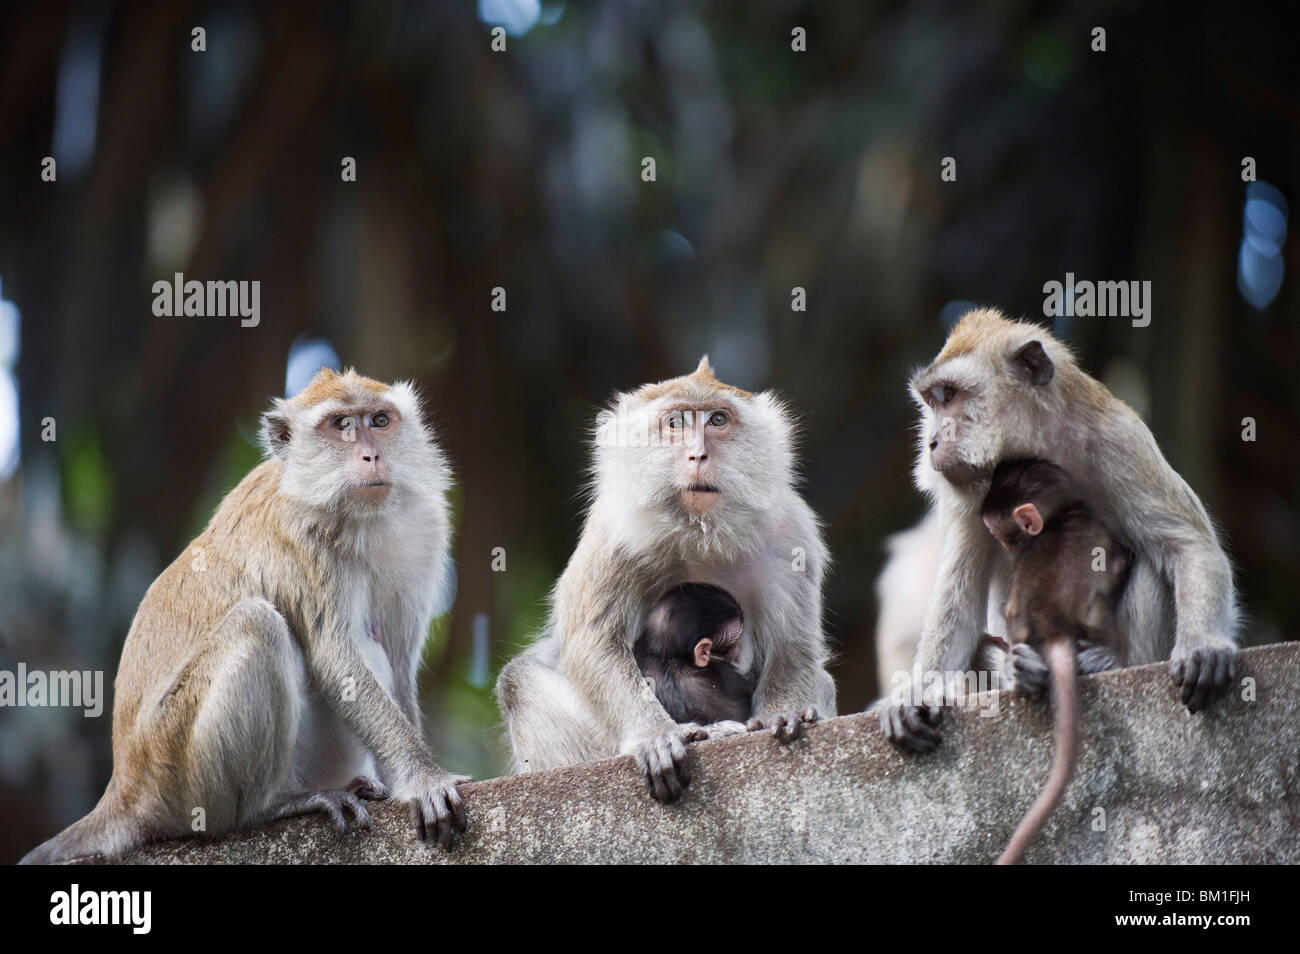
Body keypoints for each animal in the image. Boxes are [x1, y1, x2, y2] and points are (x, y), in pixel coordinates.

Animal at [21, 368, 468, 864]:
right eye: (341, 425)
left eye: (379, 420)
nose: (372, 454)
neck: (361, 518)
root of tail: (125, 784)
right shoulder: (303, 537)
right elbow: (337, 658)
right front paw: (424, 780)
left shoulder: (424, 527)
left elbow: (399, 660)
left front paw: (413, 778)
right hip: (177, 771)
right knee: (258, 624)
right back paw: (269, 807)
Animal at [878, 307, 1239, 753]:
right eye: (932, 401)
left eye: (950, 395)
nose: (930, 441)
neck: (1036, 445)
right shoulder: (965, 489)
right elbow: (959, 595)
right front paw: (919, 690)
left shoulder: (1120, 441)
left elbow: (1187, 545)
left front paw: (1204, 645)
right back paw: (1023, 670)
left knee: (1152, 566)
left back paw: (1109, 662)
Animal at [978, 458, 1131, 864]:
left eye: (1004, 536)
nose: (1004, 546)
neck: (1062, 516)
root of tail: (1053, 628)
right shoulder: (1099, 530)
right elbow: (1121, 558)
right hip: (1092, 611)